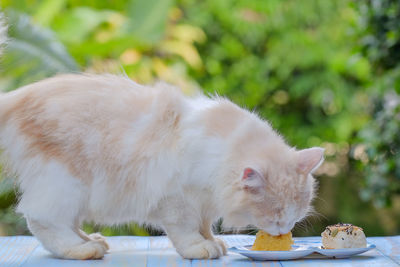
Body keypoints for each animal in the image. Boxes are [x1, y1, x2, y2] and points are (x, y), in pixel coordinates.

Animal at [0, 18, 322, 260]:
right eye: (276, 214)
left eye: (295, 215)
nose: (282, 231)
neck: (218, 155)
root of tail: (14, 98)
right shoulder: (176, 199)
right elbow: (186, 230)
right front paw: (199, 248)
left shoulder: (204, 200)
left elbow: (205, 224)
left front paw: (214, 241)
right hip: (64, 183)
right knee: (40, 219)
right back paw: (81, 250)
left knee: (66, 222)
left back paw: (91, 240)